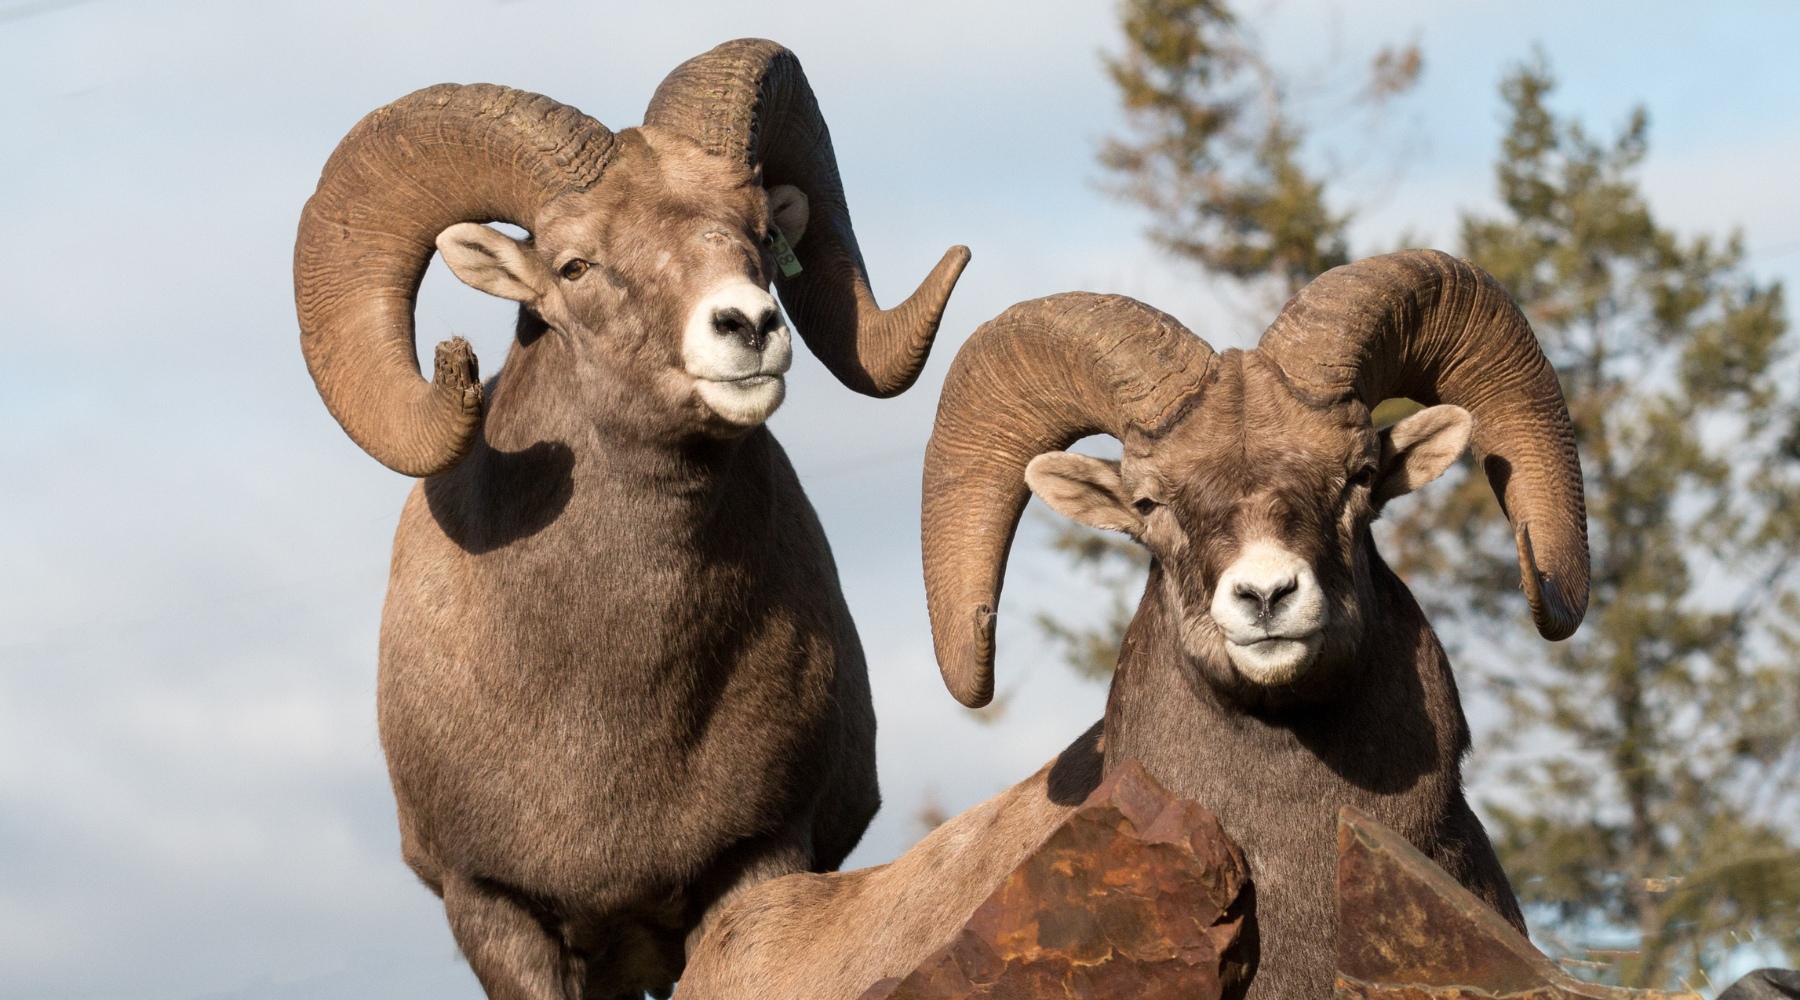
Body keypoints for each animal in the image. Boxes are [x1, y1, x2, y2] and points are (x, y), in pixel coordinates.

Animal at [291, 38, 969, 1000]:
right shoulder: (495, 909)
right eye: (575, 266)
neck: (606, 705)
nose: (749, 327)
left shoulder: (758, 859)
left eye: (761, 235)